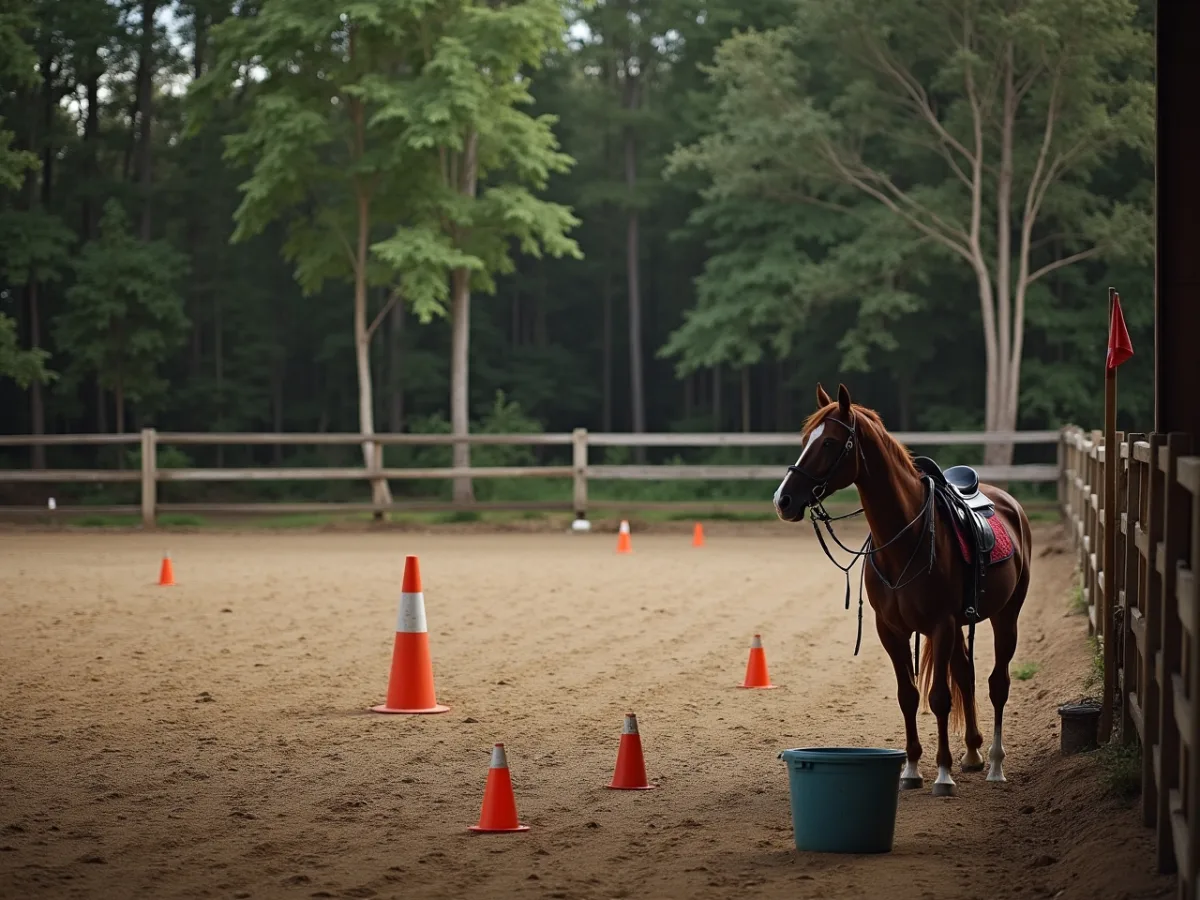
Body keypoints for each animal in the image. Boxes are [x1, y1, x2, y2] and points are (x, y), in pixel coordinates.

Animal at [772, 382, 1033, 797]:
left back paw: (994, 763)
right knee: (966, 674)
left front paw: (943, 775)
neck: (905, 537)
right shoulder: (891, 629)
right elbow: (908, 696)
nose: (783, 500)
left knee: (998, 684)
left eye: (829, 442)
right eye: (804, 440)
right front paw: (911, 769)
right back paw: (973, 753)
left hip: (1007, 616)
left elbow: (938, 698)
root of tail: (1009, 503)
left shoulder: (941, 625)